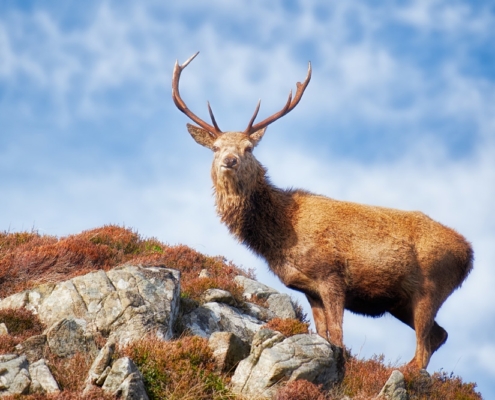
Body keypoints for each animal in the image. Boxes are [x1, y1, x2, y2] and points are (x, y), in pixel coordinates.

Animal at [172, 52, 474, 368]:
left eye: (248, 148)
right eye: (216, 147)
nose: (229, 161)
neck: (282, 234)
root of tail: (469, 256)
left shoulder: (332, 275)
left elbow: (339, 337)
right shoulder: (309, 289)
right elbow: (323, 334)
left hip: (431, 287)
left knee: (424, 346)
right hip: (402, 303)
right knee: (439, 335)